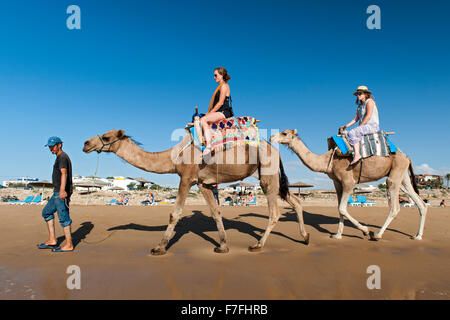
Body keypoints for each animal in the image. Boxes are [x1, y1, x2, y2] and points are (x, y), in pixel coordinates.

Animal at [82, 128, 310, 255]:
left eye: (106, 136)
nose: (85, 143)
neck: (173, 157)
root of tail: (275, 150)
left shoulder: (186, 178)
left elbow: (175, 213)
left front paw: (159, 248)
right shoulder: (203, 183)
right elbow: (216, 212)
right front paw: (222, 246)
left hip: (267, 177)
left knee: (275, 212)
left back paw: (258, 245)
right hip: (269, 178)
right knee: (296, 201)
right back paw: (305, 237)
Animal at [268, 129, 428, 240]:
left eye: (284, 133)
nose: (271, 137)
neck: (328, 161)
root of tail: (407, 156)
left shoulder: (348, 182)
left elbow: (343, 208)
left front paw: (365, 230)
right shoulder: (337, 183)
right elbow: (339, 209)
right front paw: (337, 235)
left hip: (394, 175)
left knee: (395, 206)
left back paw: (377, 235)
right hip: (402, 176)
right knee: (420, 203)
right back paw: (418, 236)